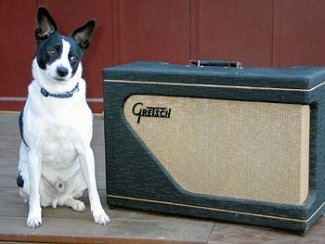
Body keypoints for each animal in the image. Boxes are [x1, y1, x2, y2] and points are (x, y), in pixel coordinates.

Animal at [16, 6, 110, 229]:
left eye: (73, 57)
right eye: (52, 51)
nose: (63, 71)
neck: (57, 96)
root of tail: (56, 197)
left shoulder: (85, 151)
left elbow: (94, 192)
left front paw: (99, 214)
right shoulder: (34, 154)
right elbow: (34, 197)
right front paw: (34, 216)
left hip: (83, 173)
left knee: (69, 196)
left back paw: (74, 202)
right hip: (24, 176)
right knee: (34, 197)